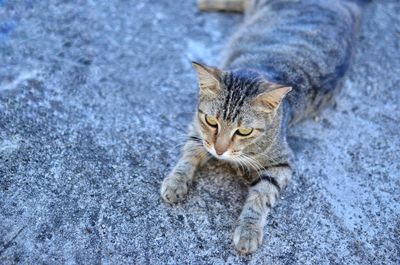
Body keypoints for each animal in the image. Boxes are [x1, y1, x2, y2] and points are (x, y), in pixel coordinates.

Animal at [159, 0, 362, 253]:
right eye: (212, 121)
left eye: (244, 131)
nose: (219, 150)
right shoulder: (198, 130)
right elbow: (189, 155)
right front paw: (176, 181)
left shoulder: (282, 164)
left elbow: (261, 196)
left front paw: (248, 230)